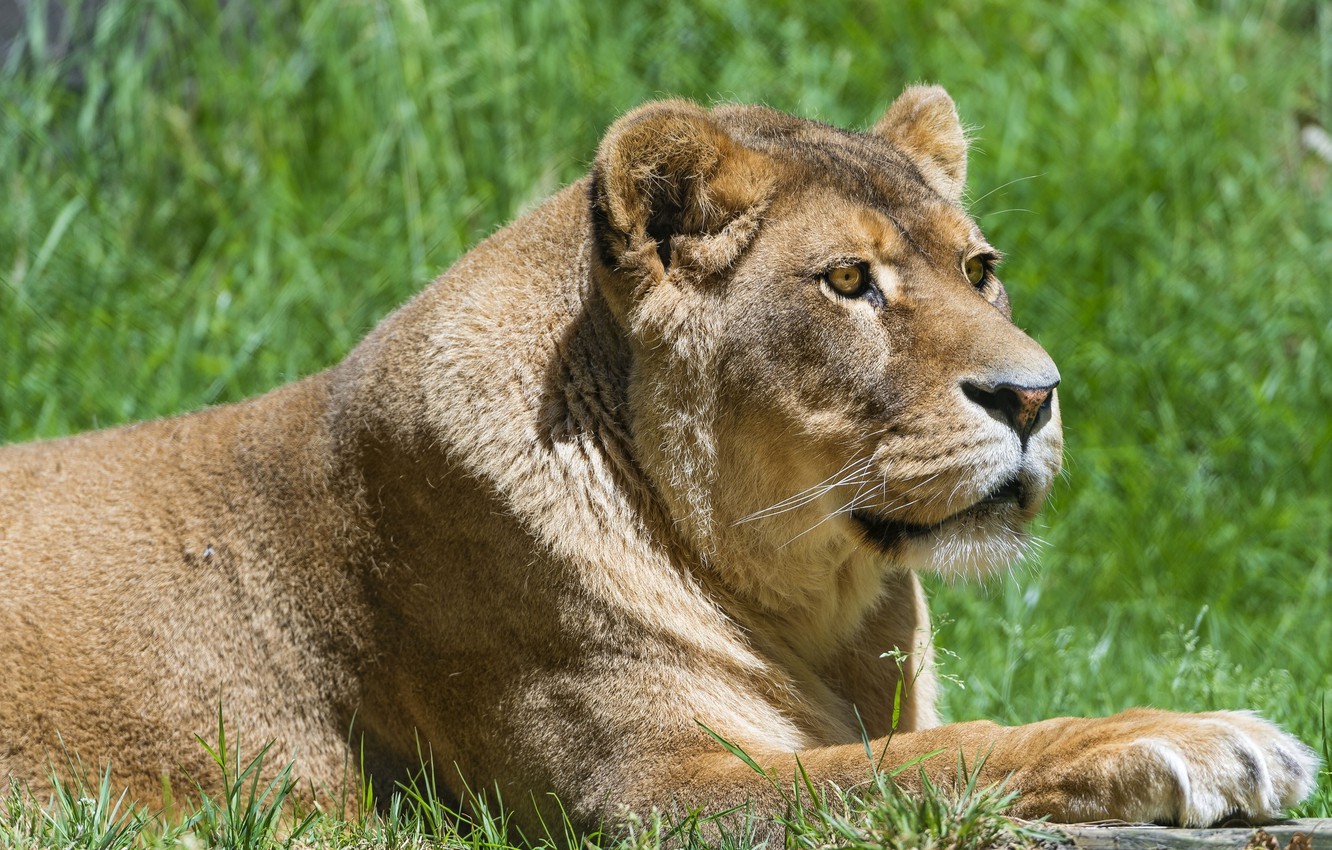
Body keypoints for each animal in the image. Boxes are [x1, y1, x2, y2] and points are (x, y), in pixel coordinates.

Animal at [0, 86, 1317, 834]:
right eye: (849, 280)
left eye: (979, 268)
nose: (1034, 395)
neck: (821, 605)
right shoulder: (653, 791)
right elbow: (934, 755)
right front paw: (1198, 740)